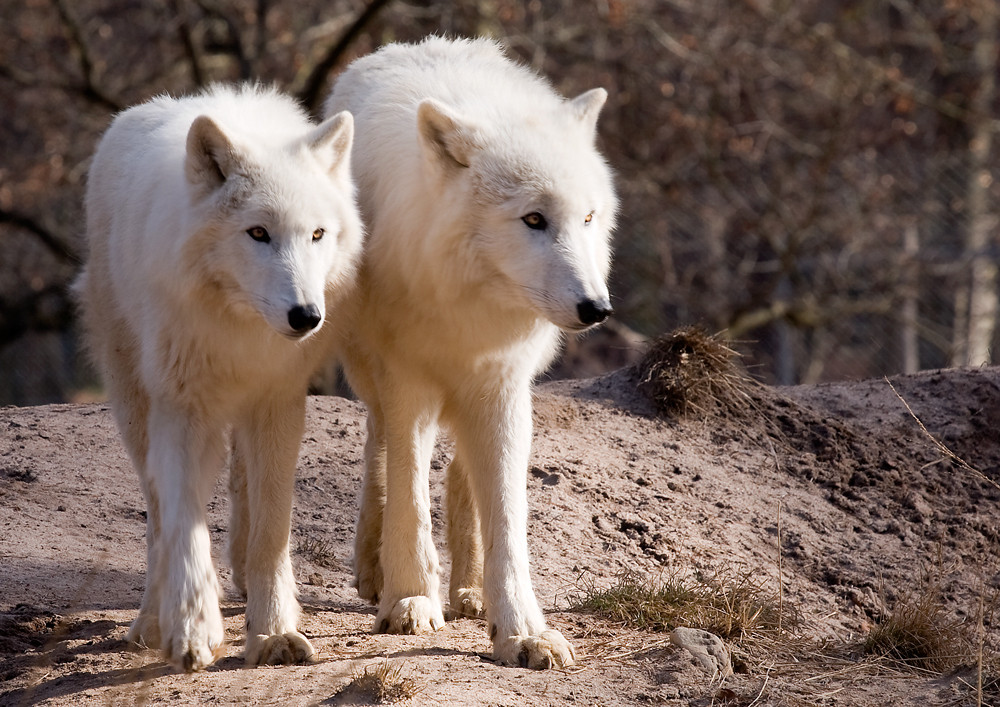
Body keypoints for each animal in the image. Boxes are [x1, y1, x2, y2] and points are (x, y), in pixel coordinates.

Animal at [76, 84, 364, 676]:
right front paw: (192, 631)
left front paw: (274, 630)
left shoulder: (278, 402)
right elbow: (184, 525)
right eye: (258, 233)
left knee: (242, 498)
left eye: (317, 234)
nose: (306, 317)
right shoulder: (183, 410)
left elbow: (272, 529)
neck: (241, 331)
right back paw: (151, 620)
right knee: (158, 518)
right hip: (135, 406)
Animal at [324, 37, 616, 668]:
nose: (597, 308)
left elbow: (506, 512)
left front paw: (521, 630)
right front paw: (409, 599)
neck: (467, 306)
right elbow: (409, 491)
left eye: (587, 217)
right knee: (379, 447)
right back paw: (376, 570)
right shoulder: (407, 378)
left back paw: (469, 591)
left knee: (461, 472)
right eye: (533, 218)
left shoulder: (502, 382)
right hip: (368, 368)